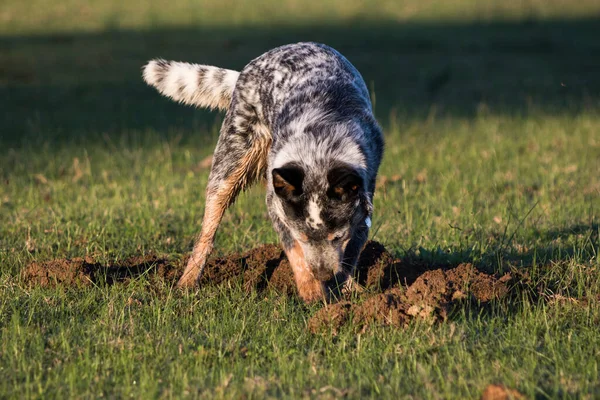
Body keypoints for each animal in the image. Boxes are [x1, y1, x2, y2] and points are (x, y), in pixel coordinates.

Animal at [143, 42, 382, 302]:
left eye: (337, 237)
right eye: (302, 236)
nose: (323, 275)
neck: (320, 144)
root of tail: (248, 68)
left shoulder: (363, 206)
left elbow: (350, 253)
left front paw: (345, 290)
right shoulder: (277, 205)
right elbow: (295, 251)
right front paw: (311, 292)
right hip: (229, 166)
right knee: (206, 234)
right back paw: (187, 282)